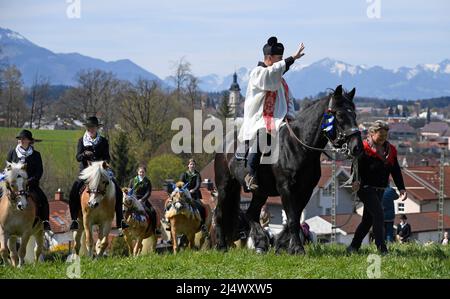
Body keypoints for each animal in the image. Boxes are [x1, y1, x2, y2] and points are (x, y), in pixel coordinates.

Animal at [213, 85, 364, 255]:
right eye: (339, 114)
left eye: (354, 113)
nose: (357, 147)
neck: (298, 147)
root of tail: (224, 144)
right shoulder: (285, 188)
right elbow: (292, 218)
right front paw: (297, 248)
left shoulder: (305, 190)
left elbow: (296, 217)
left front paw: (283, 245)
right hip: (225, 187)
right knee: (220, 214)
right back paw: (222, 246)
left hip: (260, 192)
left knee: (251, 213)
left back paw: (261, 244)